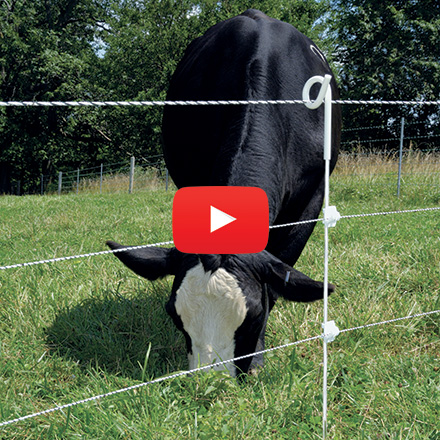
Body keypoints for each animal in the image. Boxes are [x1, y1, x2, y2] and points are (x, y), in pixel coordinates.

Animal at [108, 8, 342, 376]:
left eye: (255, 315)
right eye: (174, 315)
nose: (211, 381)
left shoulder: (312, 197)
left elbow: (281, 275)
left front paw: (257, 356)